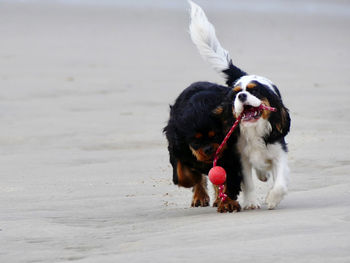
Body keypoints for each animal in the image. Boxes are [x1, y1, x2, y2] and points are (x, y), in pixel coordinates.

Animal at [163, 81, 242, 213]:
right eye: (195, 141)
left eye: (216, 136)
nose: (208, 149)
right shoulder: (176, 146)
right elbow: (181, 175)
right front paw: (193, 177)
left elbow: (229, 180)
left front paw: (227, 203)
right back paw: (199, 196)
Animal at [189, 0, 290, 210]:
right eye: (235, 95)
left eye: (255, 91)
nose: (242, 95)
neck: (255, 131)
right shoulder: (242, 159)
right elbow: (249, 183)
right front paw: (251, 202)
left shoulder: (279, 153)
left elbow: (280, 183)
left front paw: (272, 199)